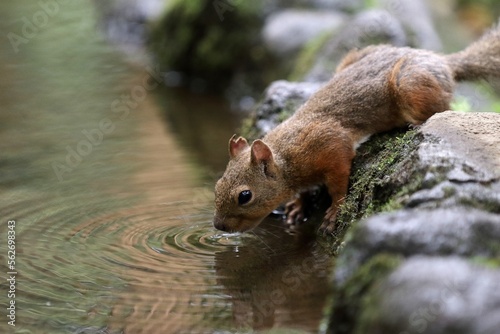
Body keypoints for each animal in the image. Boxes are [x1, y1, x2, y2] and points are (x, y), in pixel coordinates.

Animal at [212, 23, 500, 234]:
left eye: (245, 196)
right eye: (217, 184)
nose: (219, 226)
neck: (286, 159)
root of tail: (442, 61)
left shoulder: (329, 144)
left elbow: (339, 181)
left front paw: (334, 211)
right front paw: (297, 206)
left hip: (411, 83)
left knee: (441, 106)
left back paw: (414, 123)